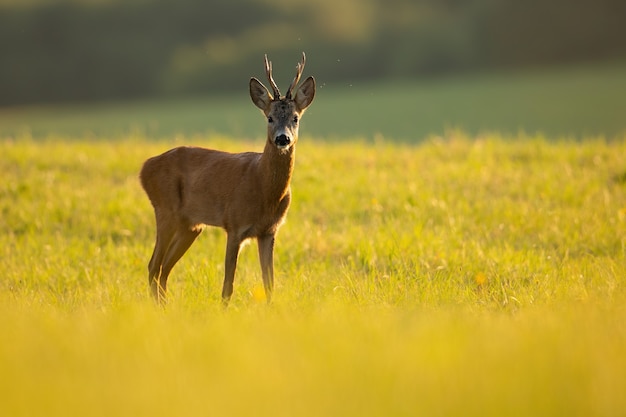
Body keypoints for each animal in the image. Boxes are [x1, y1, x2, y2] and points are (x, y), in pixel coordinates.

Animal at [136, 53, 312, 304]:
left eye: (295, 118)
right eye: (269, 118)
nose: (282, 138)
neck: (264, 189)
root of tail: (144, 168)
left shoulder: (269, 231)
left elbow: (269, 284)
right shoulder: (234, 224)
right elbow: (228, 285)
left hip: (190, 225)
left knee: (163, 269)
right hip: (165, 210)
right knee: (153, 265)